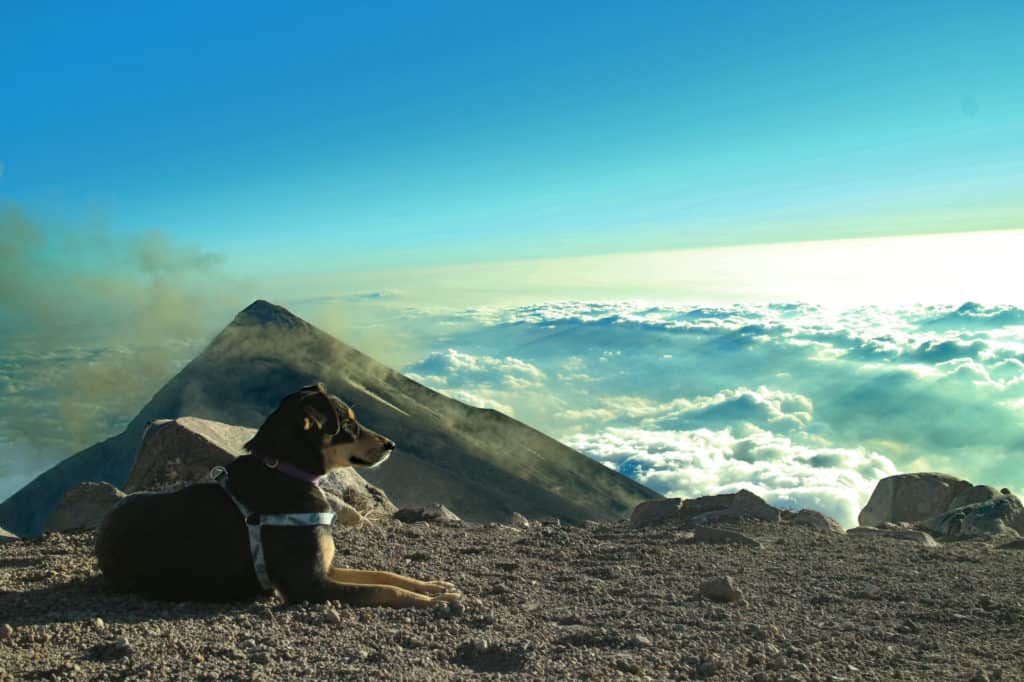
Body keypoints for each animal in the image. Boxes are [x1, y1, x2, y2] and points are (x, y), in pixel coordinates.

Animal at [96, 382, 460, 606]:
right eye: (348, 425)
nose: (391, 445)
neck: (285, 472)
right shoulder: (309, 584)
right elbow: (385, 590)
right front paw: (434, 600)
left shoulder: (325, 567)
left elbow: (385, 575)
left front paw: (433, 587)